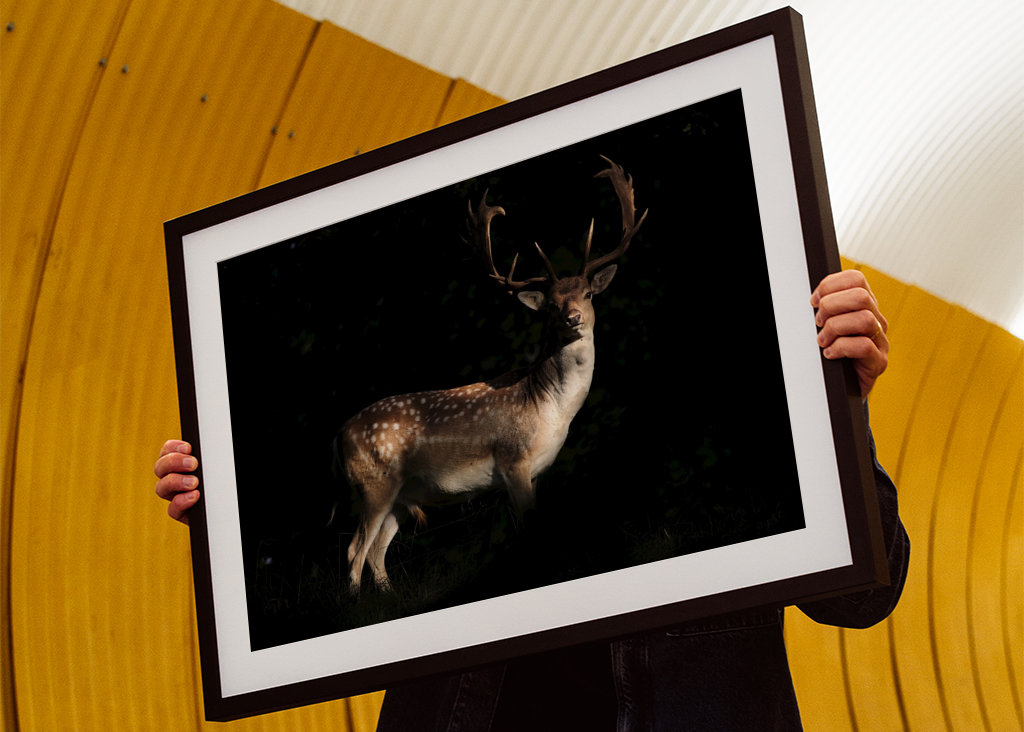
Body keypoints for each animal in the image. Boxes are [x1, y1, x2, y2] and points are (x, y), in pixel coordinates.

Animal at [337, 156, 647, 593]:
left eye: (587, 294)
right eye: (551, 305)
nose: (572, 318)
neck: (550, 410)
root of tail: (339, 436)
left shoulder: (534, 472)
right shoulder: (513, 460)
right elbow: (529, 529)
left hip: (402, 495)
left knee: (377, 554)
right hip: (373, 483)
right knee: (354, 551)